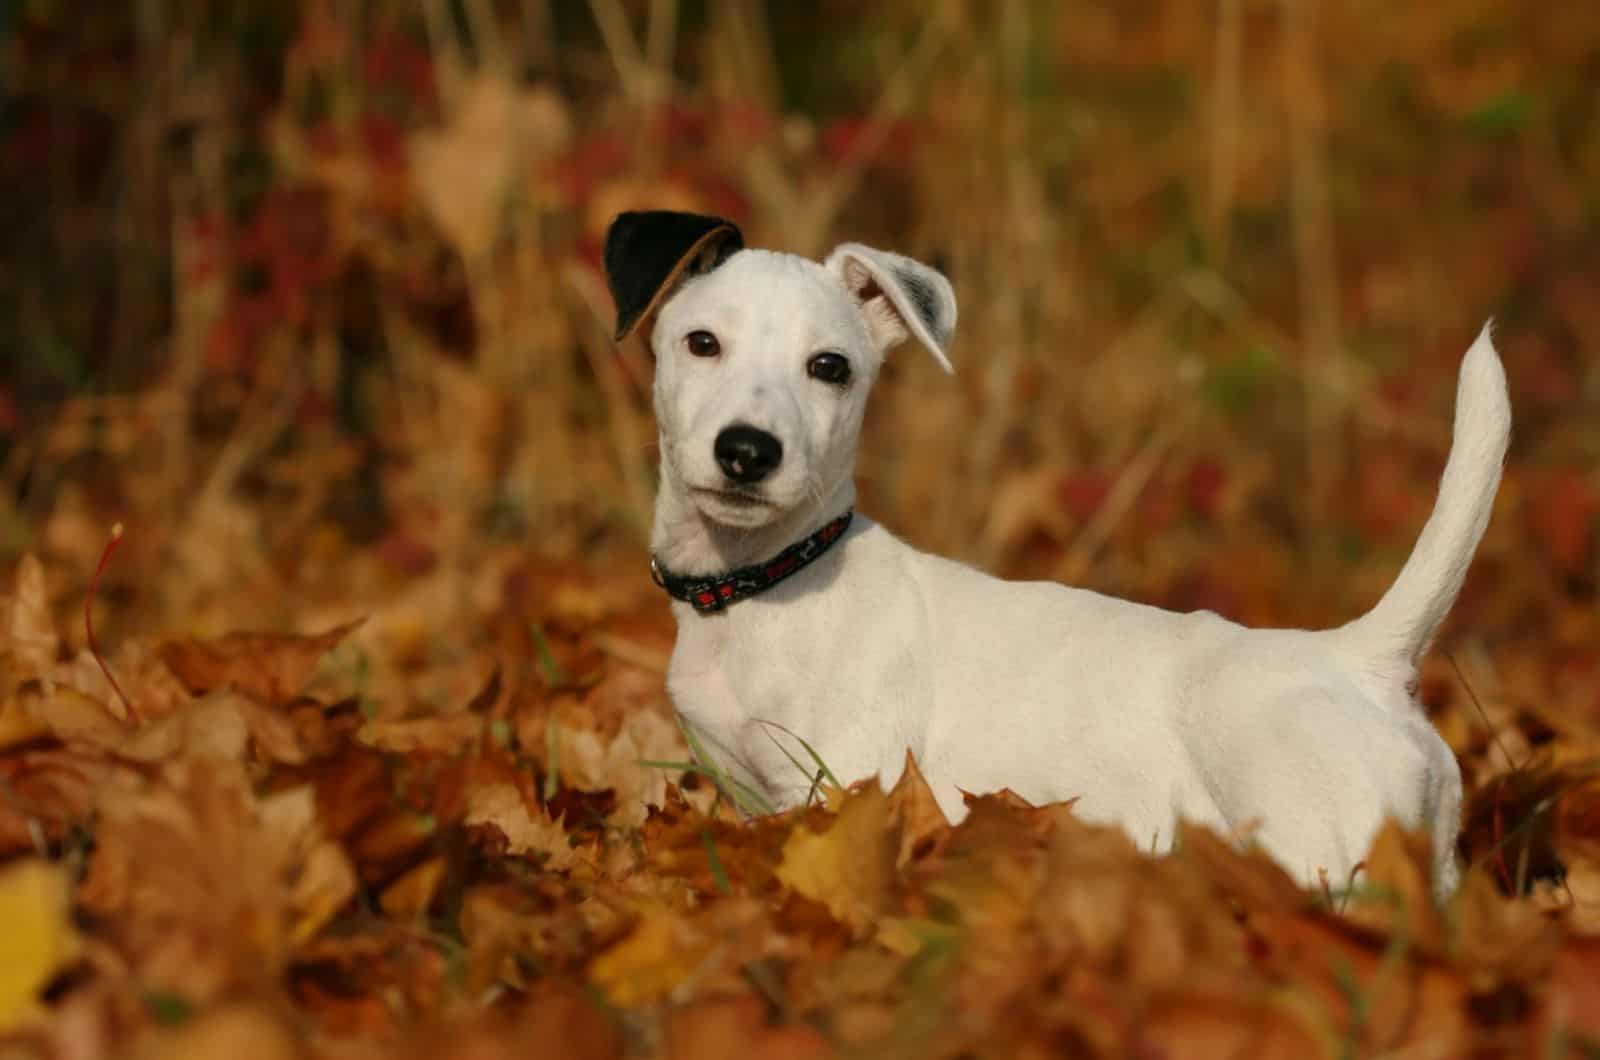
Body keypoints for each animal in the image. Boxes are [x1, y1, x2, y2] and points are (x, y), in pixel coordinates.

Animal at [601, 211, 1510, 890]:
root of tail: (1361, 659)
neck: (768, 582)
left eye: (831, 367)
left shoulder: (845, 782)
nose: (748, 452)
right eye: (701, 343)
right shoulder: (749, 791)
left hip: (1313, 844)